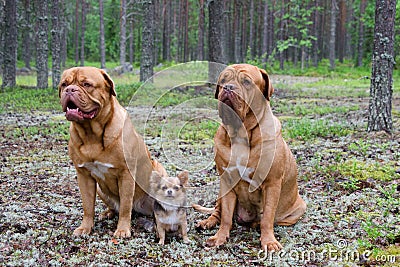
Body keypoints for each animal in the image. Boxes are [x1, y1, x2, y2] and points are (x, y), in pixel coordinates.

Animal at [58, 67, 166, 239]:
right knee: (113, 206)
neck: (91, 135)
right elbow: (87, 205)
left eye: (86, 84)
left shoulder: (126, 174)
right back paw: (107, 213)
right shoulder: (83, 175)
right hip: (101, 190)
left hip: (160, 173)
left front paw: (122, 230)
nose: (70, 90)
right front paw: (85, 227)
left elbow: (125, 206)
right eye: (64, 84)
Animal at [195, 63, 306, 252]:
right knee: (218, 212)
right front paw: (219, 237)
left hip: (299, 207)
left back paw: (256, 224)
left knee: (272, 219)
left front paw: (268, 241)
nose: (228, 87)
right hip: (220, 192)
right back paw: (207, 222)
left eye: (246, 82)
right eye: (223, 80)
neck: (241, 133)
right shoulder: (227, 181)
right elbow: (226, 217)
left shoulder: (272, 183)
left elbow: (268, 216)